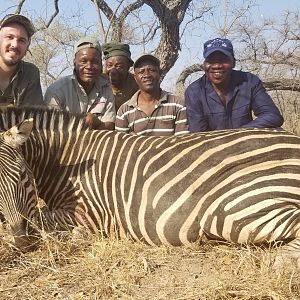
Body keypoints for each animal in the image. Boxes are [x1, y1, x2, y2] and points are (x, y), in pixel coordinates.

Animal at [0, 106, 300, 266]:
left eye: (24, 176)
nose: (21, 243)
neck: (67, 162)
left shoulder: (90, 213)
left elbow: (41, 221)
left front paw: (74, 236)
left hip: (231, 207)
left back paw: (275, 262)